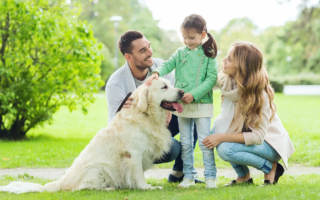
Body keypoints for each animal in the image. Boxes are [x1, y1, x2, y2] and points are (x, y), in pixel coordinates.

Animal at [0, 77, 184, 193]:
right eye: (164, 87)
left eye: (171, 84)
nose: (182, 92)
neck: (145, 115)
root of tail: (61, 182)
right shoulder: (134, 154)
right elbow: (138, 174)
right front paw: (146, 187)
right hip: (98, 168)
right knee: (81, 188)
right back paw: (109, 188)